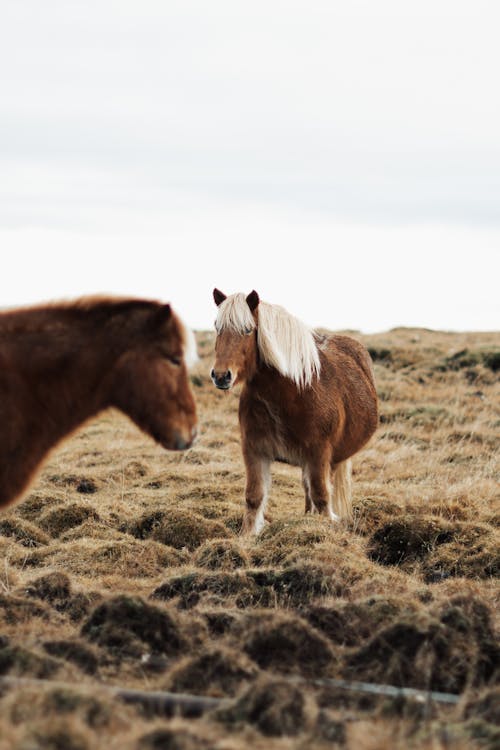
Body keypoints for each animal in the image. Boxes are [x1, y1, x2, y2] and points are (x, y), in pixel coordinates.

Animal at [211, 290, 378, 536]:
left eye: (248, 329)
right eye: (217, 327)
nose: (221, 376)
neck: (291, 393)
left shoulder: (319, 453)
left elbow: (322, 497)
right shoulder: (254, 450)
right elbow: (254, 497)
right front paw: (246, 537)